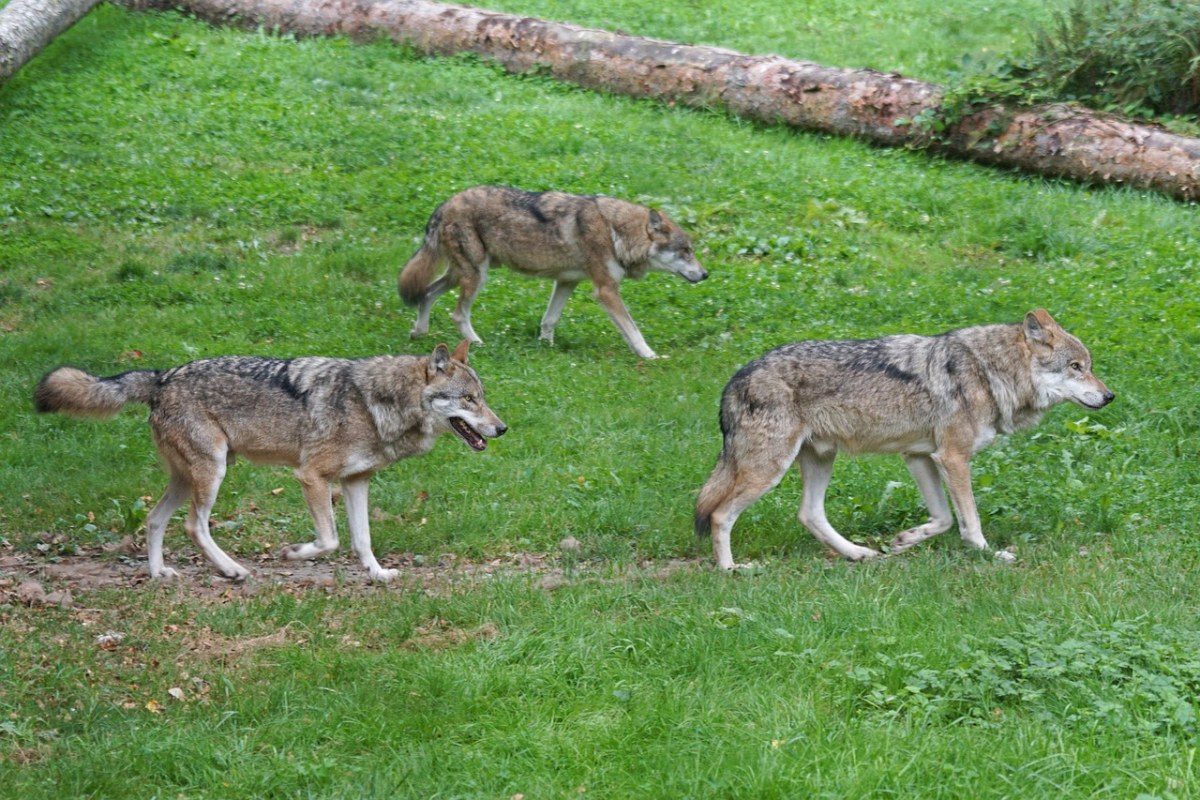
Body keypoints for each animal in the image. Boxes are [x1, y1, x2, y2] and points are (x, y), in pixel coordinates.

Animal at [36, 340, 506, 585]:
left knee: (154, 519)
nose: (502, 428)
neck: (376, 405)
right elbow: (330, 540)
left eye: (481, 397)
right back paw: (232, 570)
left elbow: (362, 540)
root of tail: (162, 376)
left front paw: (377, 574)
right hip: (213, 473)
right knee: (194, 526)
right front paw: (294, 553)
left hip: (188, 479)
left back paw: (159, 574)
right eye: (469, 399)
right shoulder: (311, 476)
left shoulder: (357, 482)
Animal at [398, 184, 705, 359]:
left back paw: (419, 333)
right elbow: (634, 329)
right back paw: (476, 343)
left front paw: (545, 346)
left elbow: (550, 320)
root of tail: (444, 204)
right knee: (458, 314)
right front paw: (649, 355)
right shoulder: (606, 291)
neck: (616, 231)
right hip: (476, 276)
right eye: (686, 251)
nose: (705, 275)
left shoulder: (566, 282)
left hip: (460, 275)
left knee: (426, 294)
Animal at [696, 311, 1113, 568]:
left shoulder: (920, 457)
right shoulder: (952, 458)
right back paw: (731, 568)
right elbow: (970, 521)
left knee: (809, 513)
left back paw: (857, 553)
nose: (1110, 396)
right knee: (719, 514)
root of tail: (736, 378)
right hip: (769, 470)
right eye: (1076, 367)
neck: (988, 372)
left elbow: (943, 519)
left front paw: (905, 540)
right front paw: (988, 554)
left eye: (1089, 367)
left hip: (819, 459)